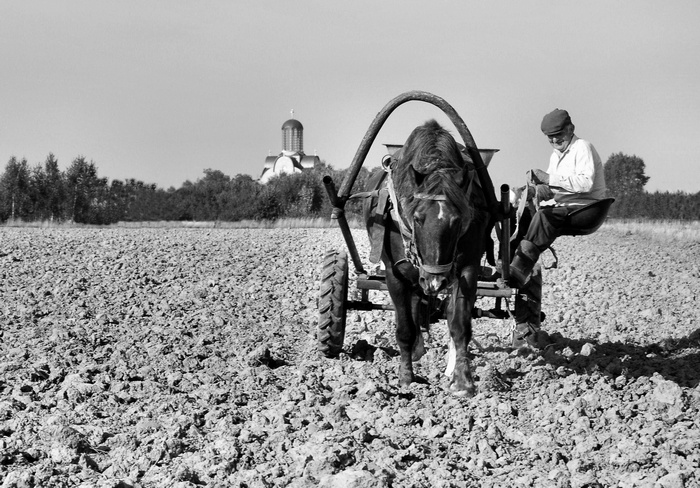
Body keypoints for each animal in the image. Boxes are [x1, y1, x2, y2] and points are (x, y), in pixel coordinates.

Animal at [364, 119, 490, 396]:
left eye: (457, 220)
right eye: (418, 218)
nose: (435, 281)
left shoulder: (467, 268)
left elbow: (459, 325)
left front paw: (463, 381)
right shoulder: (395, 275)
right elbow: (404, 329)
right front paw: (406, 378)